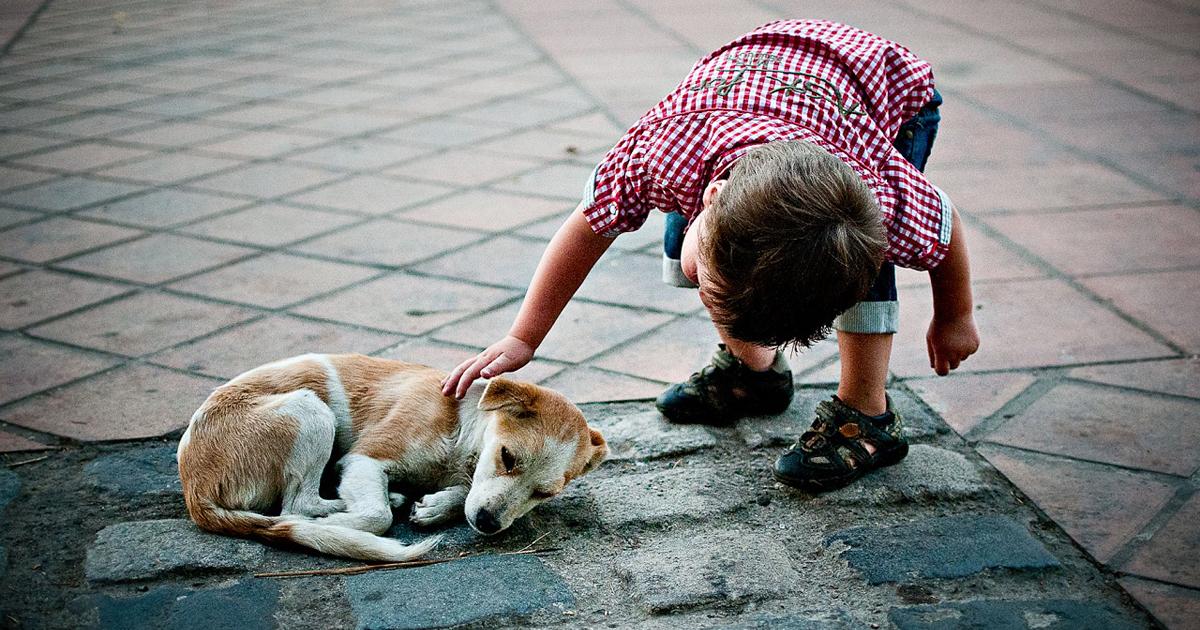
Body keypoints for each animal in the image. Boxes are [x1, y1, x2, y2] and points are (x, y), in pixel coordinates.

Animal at [175, 352, 609, 559]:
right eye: (507, 456)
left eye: (544, 493)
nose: (488, 524)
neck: (462, 426)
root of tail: (194, 490)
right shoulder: (365, 458)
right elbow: (377, 516)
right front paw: (346, 524)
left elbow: (462, 493)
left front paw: (436, 506)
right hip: (310, 411)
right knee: (294, 508)